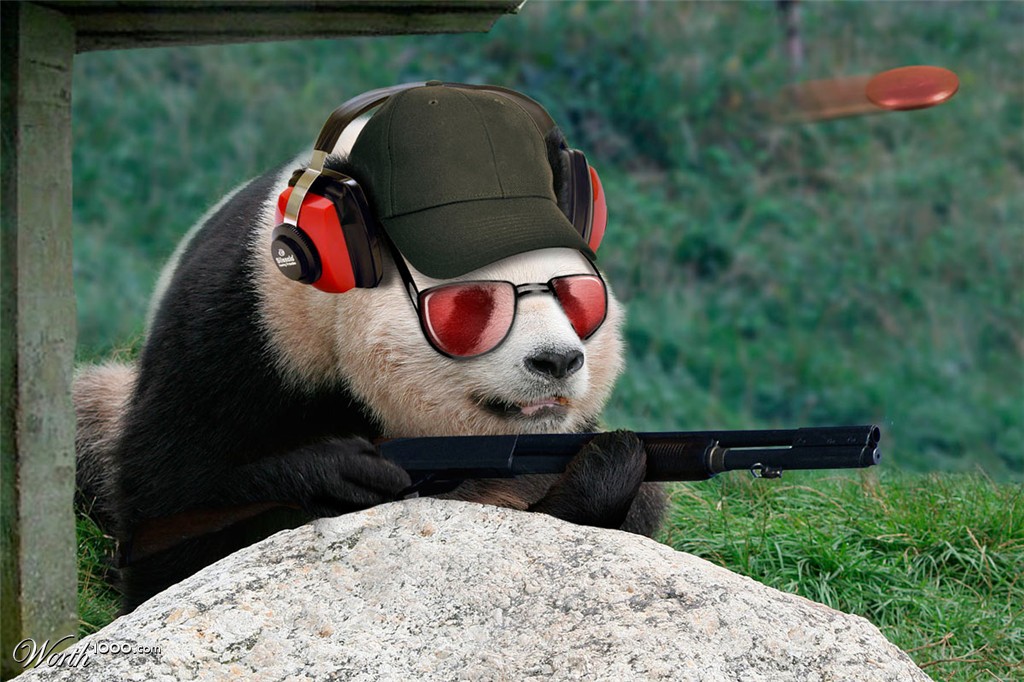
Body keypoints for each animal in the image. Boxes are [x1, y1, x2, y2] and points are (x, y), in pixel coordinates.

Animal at [74, 82, 666, 612]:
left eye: (579, 296)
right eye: (473, 305)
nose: (557, 361)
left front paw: (603, 471)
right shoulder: (237, 330)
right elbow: (173, 519)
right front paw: (340, 476)